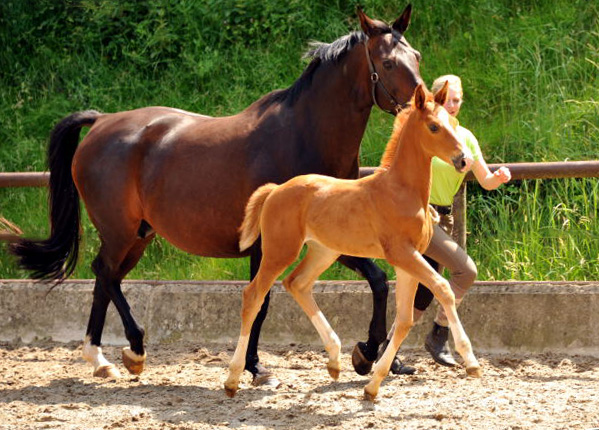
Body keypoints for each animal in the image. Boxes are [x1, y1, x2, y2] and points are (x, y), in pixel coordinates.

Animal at [9, 5, 422, 382]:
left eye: (415, 56)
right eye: (387, 62)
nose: (421, 106)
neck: (303, 135)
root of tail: (101, 121)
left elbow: (376, 281)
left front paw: (373, 356)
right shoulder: (280, 243)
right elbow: (265, 299)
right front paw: (258, 366)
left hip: (138, 235)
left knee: (104, 279)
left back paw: (102, 359)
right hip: (120, 231)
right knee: (105, 274)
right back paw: (133, 349)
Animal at [225, 83, 482, 400]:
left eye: (454, 124)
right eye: (434, 126)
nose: (464, 160)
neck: (400, 191)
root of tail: (275, 190)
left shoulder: (408, 261)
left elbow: (405, 319)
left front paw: (373, 384)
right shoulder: (402, 253)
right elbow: (443, 289)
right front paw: (471, 361)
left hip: (324, 251)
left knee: (297, 284)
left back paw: (334, 361)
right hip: (279, 251)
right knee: (253, 296)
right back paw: (233, 378)